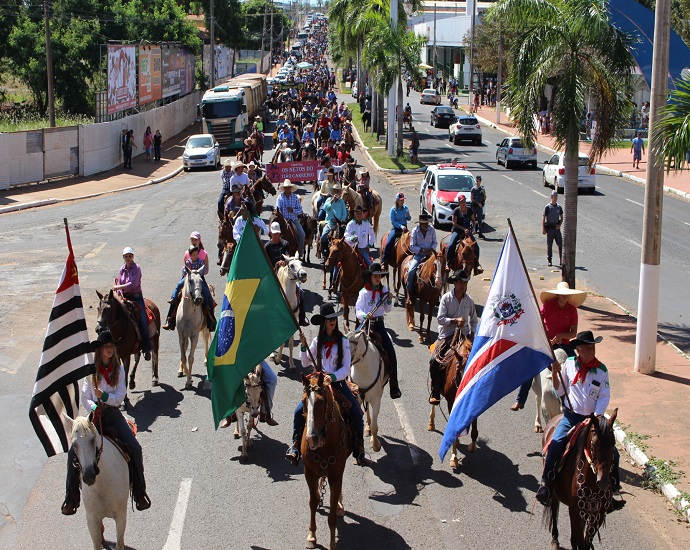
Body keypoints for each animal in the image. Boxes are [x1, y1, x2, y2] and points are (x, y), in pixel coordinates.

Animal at [62, 414, 129, 550]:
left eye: (92, 440)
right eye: (74, 444)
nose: (88, 476)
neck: (102, 486)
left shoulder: (121, 516)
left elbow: (119, 543)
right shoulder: (92, 520)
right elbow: (97, 543)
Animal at [300, 376, 350, 550]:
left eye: (321, 402)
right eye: (303, 401)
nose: (311, 439)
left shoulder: (336, 475)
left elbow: (332, 512)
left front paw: (332, 544)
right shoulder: (308, 472)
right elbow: (313, 501)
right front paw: (311, 536)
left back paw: (341, 505)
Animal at [424, 332, 478, 470]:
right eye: (459, 372)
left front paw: (472, 445)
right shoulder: (451, 402)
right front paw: (454, 458)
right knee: (434, 400)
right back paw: (431, 423)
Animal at [544, 412, 620, 550]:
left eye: (613, 443)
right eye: (594, 443)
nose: (603, 482)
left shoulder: (598, 514)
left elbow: (586, 541)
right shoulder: (577, 512)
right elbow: (580, 541)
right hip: (554, 494)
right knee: (554, 510)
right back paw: (555, 540)